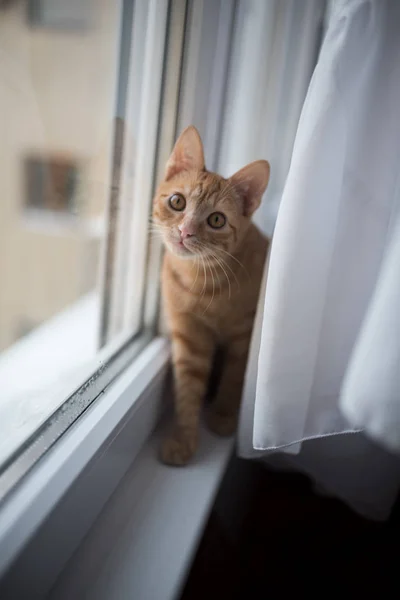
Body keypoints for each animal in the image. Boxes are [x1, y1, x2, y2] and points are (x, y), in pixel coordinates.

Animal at [152, 125, 268, 464]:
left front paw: (224, 415)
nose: (185, 231)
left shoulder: (245, 336)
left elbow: (235, 376)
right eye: (177, 202)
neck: (203, 285)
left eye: (216, 219)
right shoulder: (189, 334)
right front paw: (183, 438)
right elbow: (188, 388)